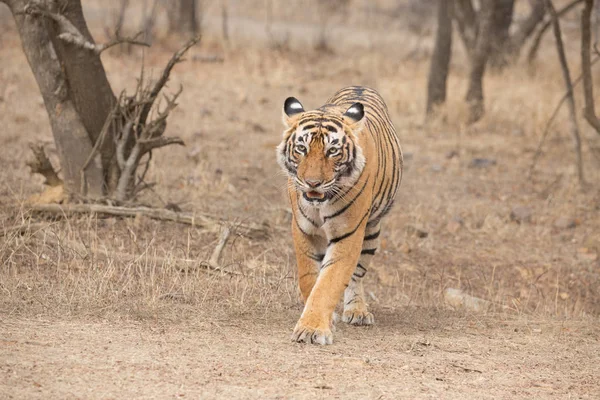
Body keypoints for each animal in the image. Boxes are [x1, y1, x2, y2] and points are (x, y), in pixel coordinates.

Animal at [278, 85, 404, 344]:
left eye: (332, 151)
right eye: (302, 149)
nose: (312, 183)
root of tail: (360, 86)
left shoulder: (349, 234)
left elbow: (329, 282)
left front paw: (312, 329)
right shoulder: (303, 230)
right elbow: (309, 278)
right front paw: (322, 319)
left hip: (371, 231)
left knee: (357, 274)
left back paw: (357, 311)